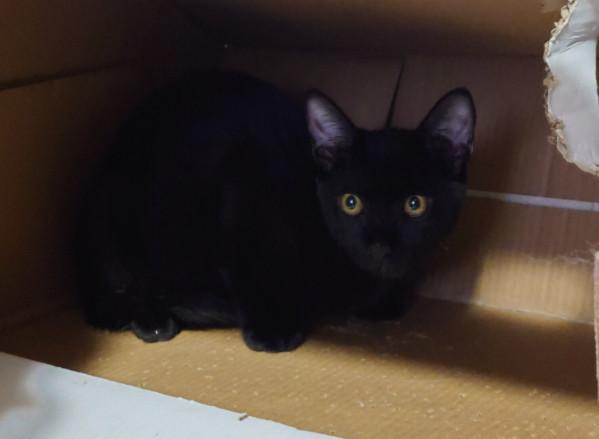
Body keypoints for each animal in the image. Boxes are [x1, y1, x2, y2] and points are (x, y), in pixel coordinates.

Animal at [75, 71, 476, 352]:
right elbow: (250, 270)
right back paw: (153, 321)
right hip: (121, 222)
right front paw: (271, 330)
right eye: (351, 202)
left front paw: (385, 302)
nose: (379, 243)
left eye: (415, 204)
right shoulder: (240, 197)